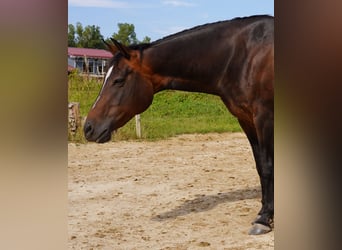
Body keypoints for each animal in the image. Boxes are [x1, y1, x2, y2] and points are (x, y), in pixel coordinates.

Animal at [84, 15, 274, 234]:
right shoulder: (245, 120)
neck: (243, 56)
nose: (88, 128)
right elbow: (260, 166)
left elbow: (267, 166)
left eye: (119, 80)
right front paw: (263, 211)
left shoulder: (264, 118)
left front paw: (264, 219)